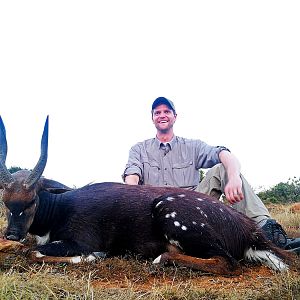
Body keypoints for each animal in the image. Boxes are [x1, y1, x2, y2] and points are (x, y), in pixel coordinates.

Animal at [0, 116, 290, 274]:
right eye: (5, 202)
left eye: (32, 200)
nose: (11, 233)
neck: (61, 208)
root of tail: (248, 229)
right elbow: (29, 249)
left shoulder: (81, 241)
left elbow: (34, 252)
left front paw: (93, 257)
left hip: (171, 215)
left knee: (226, 262)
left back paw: (161, 259)